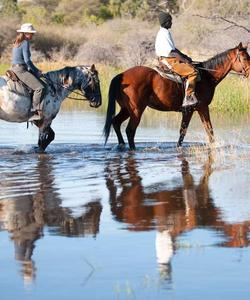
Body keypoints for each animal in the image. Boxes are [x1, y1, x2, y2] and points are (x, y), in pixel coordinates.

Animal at [103, 42, 250, 150]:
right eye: (244, 58)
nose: (249, 72)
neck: (207, 76)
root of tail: (121, 75)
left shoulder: (189, 110)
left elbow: (183, 132)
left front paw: (179, 147)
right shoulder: (202, 107)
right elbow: (209, 129)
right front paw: (214, 146)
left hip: (126, 109)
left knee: (116, 122)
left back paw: (121, 145)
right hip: (136, 110)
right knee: (130, 130)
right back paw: (132, 149)